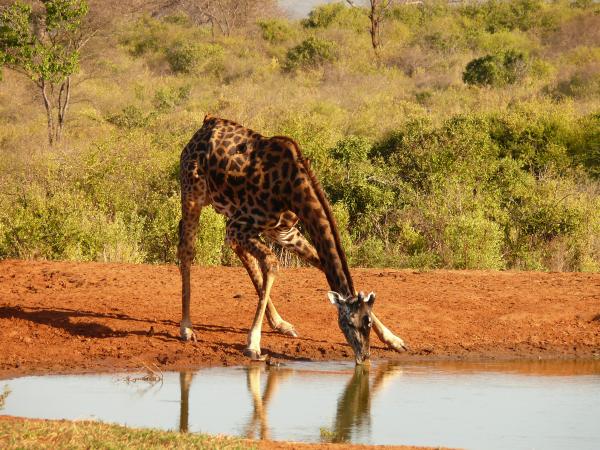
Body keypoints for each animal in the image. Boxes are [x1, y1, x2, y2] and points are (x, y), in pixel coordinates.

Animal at [176, 114, 406, 364]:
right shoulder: (238, 225)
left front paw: (393, 340)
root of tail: (207, 122)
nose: (364, 357)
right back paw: (187, 328)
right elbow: (272, 263)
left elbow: (319, 264)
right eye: (350, 323)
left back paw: (280, 324)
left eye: (368, 322)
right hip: (193, 193)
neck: (293, 189)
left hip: (240, 219)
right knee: (186, 249)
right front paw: (253, 344)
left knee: (239, 252)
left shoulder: (282, 231)